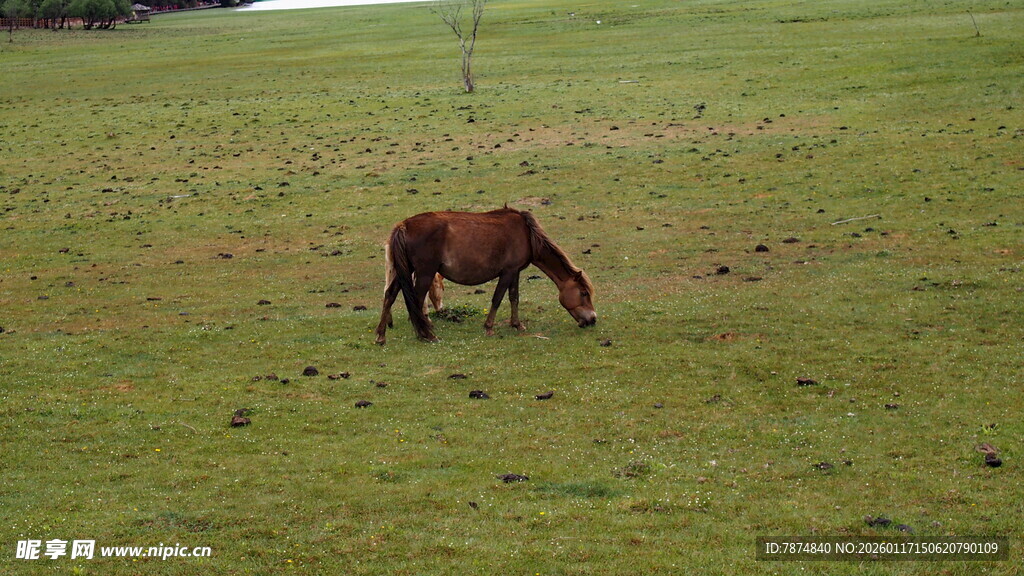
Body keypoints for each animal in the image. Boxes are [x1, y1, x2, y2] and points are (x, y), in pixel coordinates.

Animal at [375, 206, 596, 344]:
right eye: (584, 293)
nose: (593, 319)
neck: (526, 234)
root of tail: (403, 225)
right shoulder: (507, 272)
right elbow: (497, 298)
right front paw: (489, 327)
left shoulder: (515, 272)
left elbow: (514, 298)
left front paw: (517, 325)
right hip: (424, 273)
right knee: (417, 300)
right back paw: (426, 335)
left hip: (405, 271)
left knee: (390, 295)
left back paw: (381, 336)